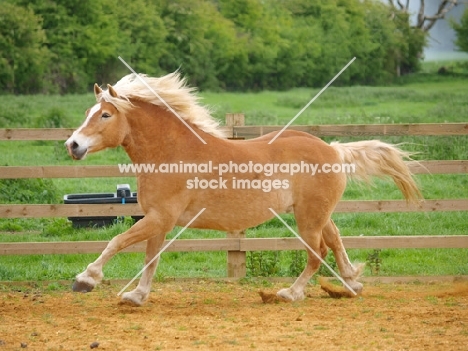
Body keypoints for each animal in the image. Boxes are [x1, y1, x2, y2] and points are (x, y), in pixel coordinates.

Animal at [65, 73, 420, 306]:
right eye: (86, 113)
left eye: (105, 114)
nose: (73, 145)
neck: (170, 153)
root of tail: (333, 150)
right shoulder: (157, 220)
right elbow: (151, 258)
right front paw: (137, 295)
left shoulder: (160, 218)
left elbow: (116, 241)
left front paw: (85, 279)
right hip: (316, 213)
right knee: (334, 241)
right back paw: (351, 283)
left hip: (309, 218)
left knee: (317, 252)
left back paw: (290, 293)